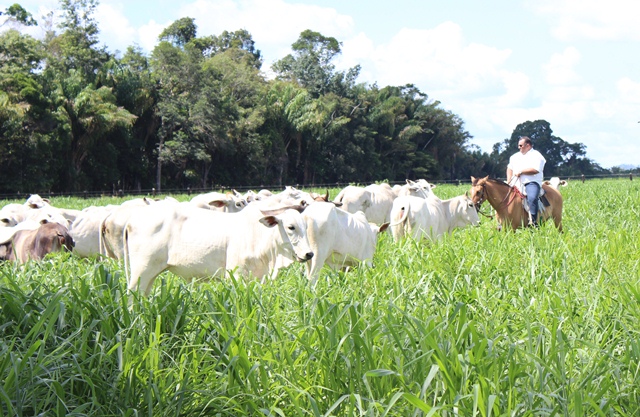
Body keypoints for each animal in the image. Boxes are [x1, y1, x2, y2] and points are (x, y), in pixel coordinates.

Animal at [122, 202, 312, 294]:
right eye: (291, 227)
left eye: (305, 226)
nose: (309, 254)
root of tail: (130, 221)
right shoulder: (236, 275)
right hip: (141, 271)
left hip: (151, 273)